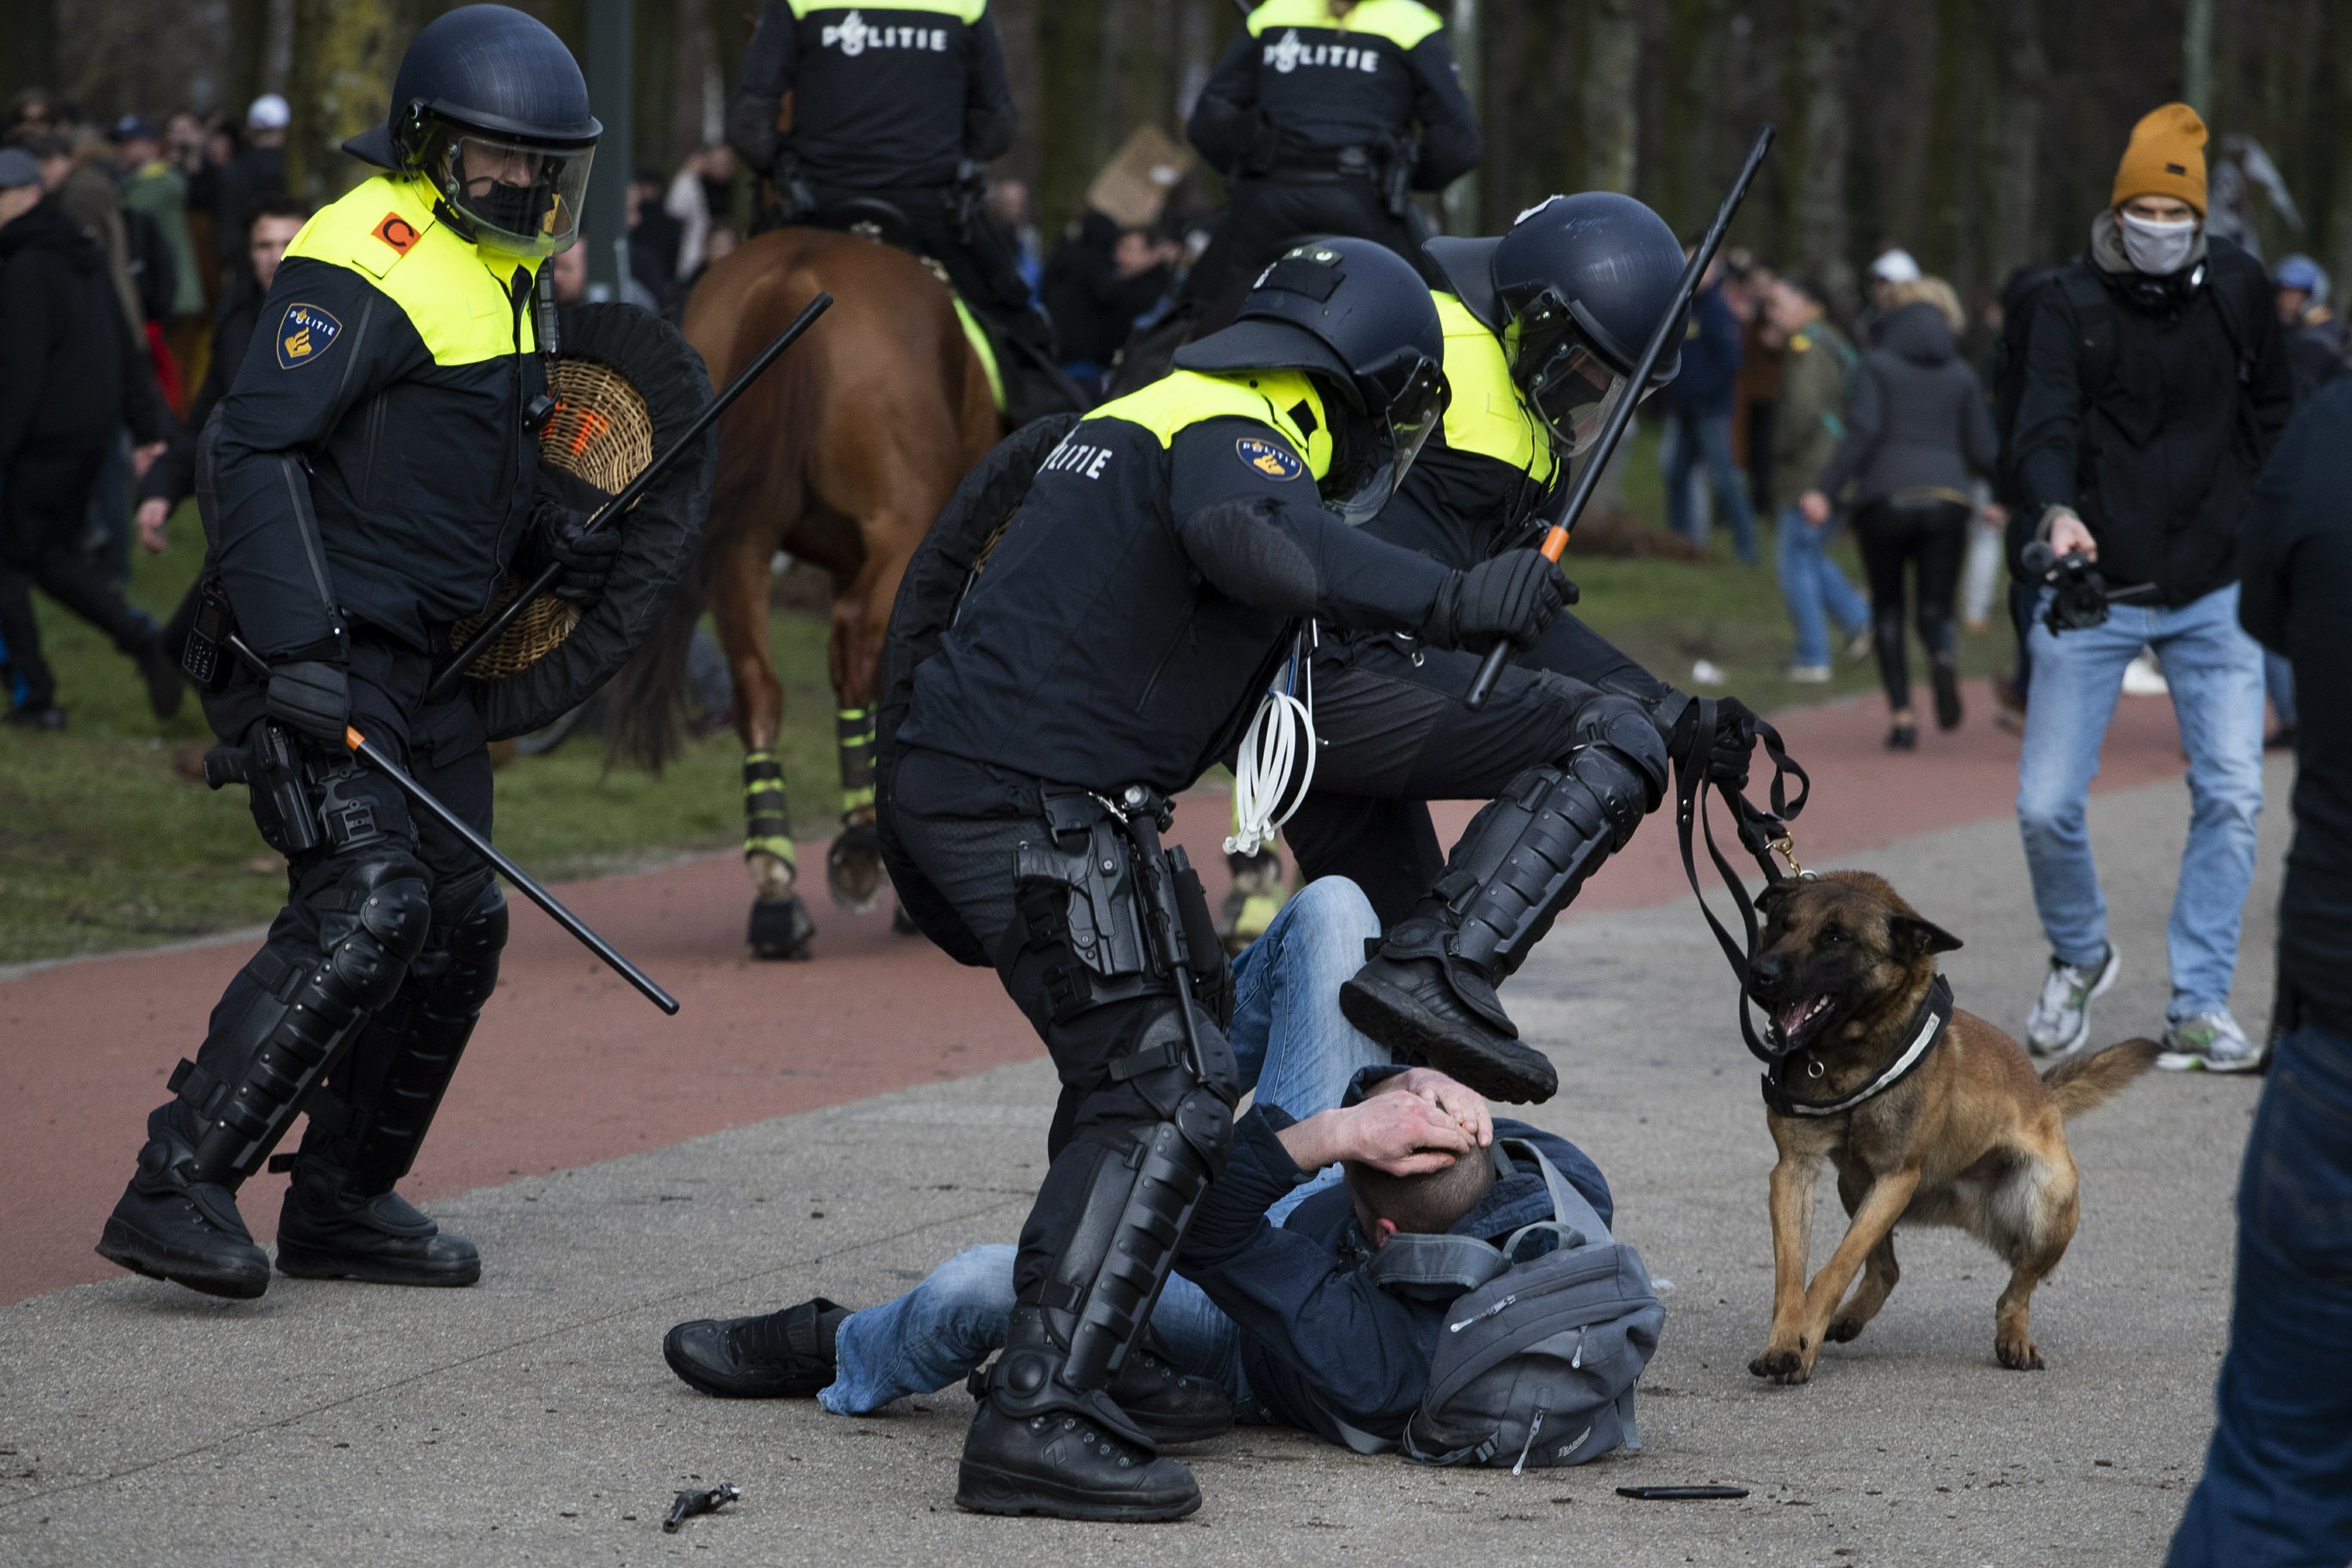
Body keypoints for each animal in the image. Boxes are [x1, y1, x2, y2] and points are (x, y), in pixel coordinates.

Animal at [607, 225, 993, 949]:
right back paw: (861, 848)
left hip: (739, 541)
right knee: (858, 637)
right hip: (902, 527)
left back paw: (776, 884)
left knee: (760, 683)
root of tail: (795, 272)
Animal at [1750, 869, 2154, 1382]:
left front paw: (1804, 1343)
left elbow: (1834, 1270)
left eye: (1836, 938)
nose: (1759, 973)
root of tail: (2044, 1094)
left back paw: (2014, 1338)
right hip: (1856, 1185)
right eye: (1781, 925)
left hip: (2048, 1203)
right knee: (1886, 1270)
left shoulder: (1895, 1175)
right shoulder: (1794, 1171)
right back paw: (1849, 1318)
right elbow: (1791, 1274)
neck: (1851, 1058)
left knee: (2016, 1292)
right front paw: (1787, 1342)